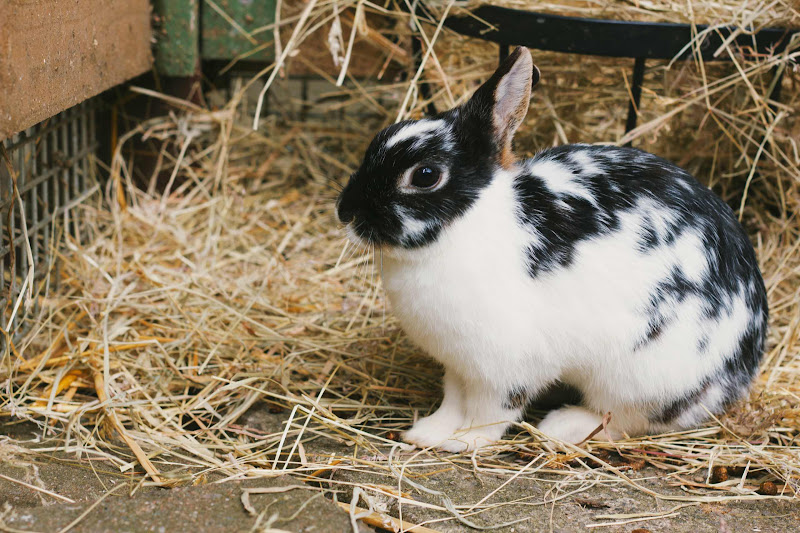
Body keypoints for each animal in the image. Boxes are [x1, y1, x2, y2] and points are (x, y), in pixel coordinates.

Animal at [335, 47, 768, 452]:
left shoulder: (503, 369)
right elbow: (453, 401)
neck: (468, 225)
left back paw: (563, 425)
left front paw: (466, 441)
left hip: (642, 376)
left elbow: (490, 411)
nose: (345, 211)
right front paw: (426, 433)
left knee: (626, 419)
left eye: (425, 175)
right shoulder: (458, 366)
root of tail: (743, 368)